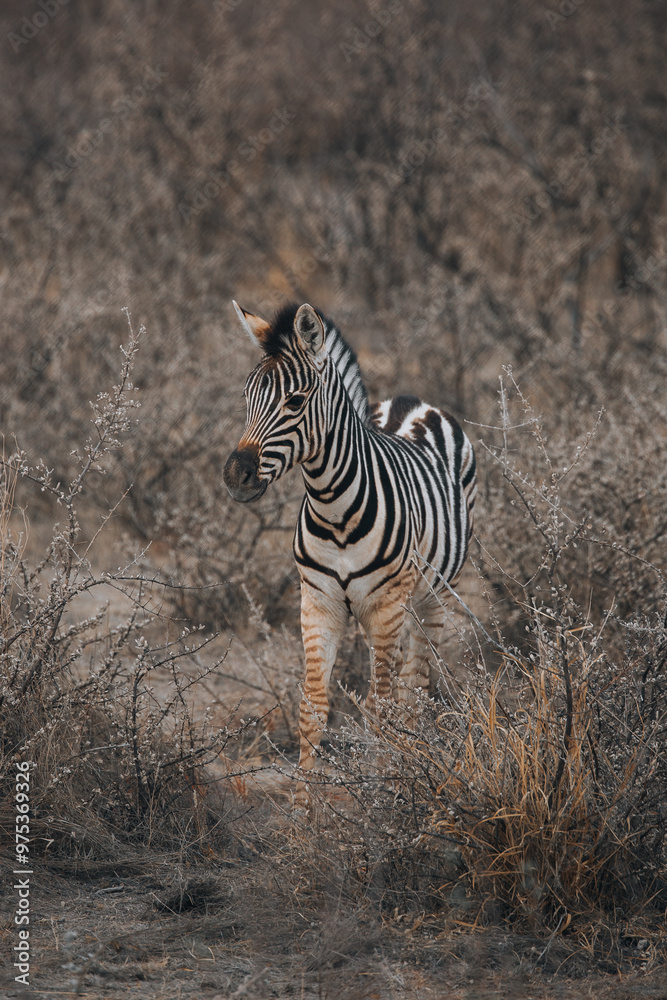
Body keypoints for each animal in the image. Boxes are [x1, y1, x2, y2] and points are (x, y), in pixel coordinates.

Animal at [223, 300, 476, 775]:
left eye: (295, 401)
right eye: (246, 398)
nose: (235, 475)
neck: (335, 509)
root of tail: (412, 402)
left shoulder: (386, 606)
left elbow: (379, 709)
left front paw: (385, 788)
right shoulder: (318, 603)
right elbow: (312, 708)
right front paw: (303, 797)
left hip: (431, 597)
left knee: (412, 689)